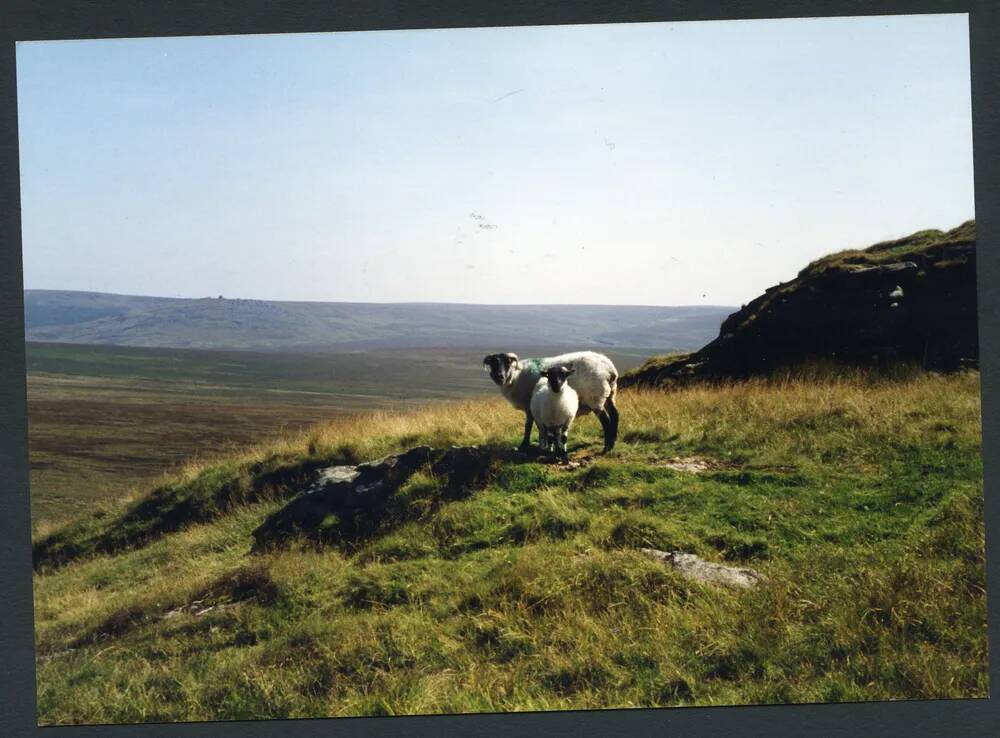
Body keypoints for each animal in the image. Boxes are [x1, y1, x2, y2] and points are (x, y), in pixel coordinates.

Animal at [482, 350, 616, 448]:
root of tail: (610, 369)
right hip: (609, 394)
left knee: (606, 421)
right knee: (615, 415)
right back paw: (612, 443)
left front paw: (525, 445)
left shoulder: (529, 406)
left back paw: (606, 447)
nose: (500, 376)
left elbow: (529, 426)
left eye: (508, 362)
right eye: (493, 363)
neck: (516, 376)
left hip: (595, 397)